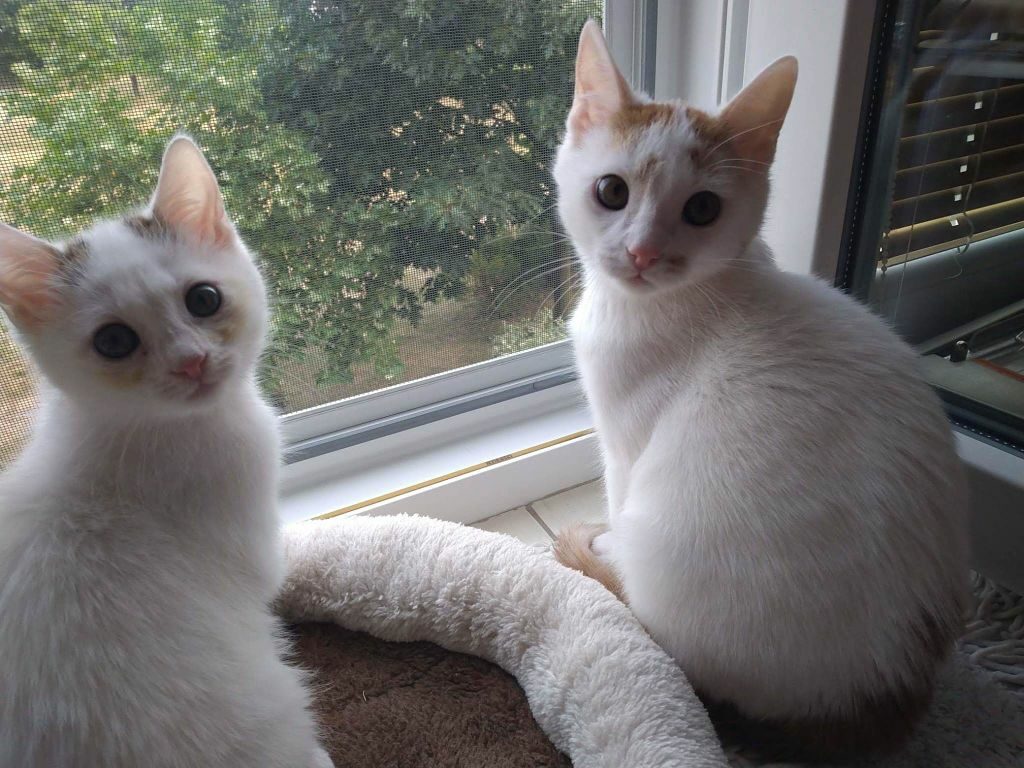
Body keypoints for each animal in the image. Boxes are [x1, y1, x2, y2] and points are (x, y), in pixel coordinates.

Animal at [552, 21, 969, 762]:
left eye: (701, 209)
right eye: (611, 191)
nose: (643, 253)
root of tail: (879, 698)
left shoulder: (624, 447)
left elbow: (616, 501)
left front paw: (602, 550)